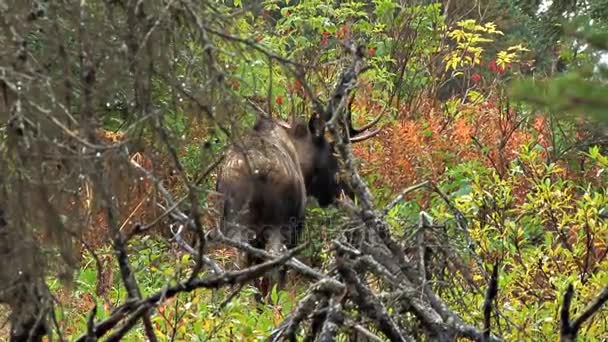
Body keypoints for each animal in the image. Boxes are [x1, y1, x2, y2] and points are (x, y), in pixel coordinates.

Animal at [214, 102, 380, 294]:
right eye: (333, 154)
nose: (348, 192)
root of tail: (257, 168)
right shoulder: (296, 225)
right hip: (279, 224)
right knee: (274, 265)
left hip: (234, 222)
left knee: (240, 262)